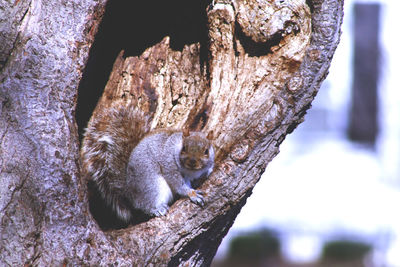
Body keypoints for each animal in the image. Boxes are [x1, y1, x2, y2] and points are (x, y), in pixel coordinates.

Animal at [79, 101, 214, 223]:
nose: (192, 162)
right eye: (184, 148)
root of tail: (129, 191)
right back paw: (156, 209)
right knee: (144, 205)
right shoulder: (169, 165)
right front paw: (192, 194)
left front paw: (208, 172)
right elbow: (178, 184)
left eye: (206, 151)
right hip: (152, 185)